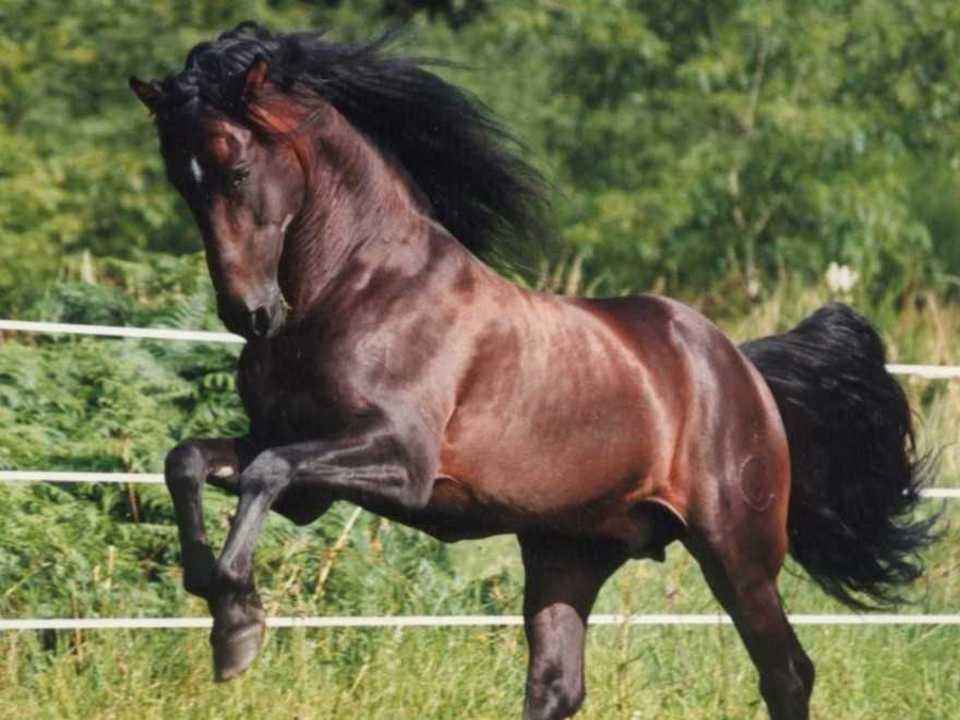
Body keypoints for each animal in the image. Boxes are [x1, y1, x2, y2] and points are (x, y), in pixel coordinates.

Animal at [130, 22, 939, 720]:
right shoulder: (308, 485)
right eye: (180, 180)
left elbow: (265, 471)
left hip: (737, 553)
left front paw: (238, 624)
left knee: (786, 673)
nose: (250, 314)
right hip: (568, 555)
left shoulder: (399, 459)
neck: (356, 287)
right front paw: (222, 607)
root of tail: (742, 364)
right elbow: (191, 460)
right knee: (556, 686)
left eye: (236, 168)